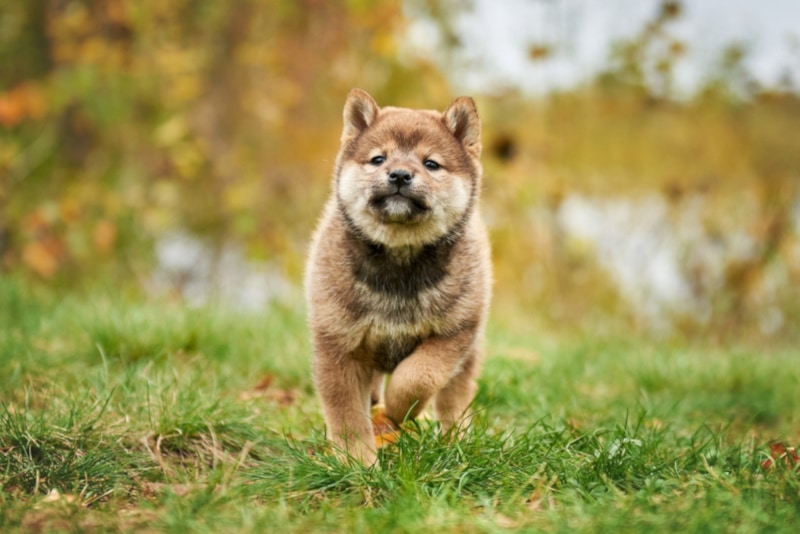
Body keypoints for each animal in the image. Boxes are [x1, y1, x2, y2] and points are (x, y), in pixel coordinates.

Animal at [306, 90, 494, 466]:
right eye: (378, 159)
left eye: (431, 164)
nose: (399, 175)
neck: (398, 263)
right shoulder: (336, 343)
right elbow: (347, 416)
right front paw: (357, 463)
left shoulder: (454, 333)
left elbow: (416, 378)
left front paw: (398, 411)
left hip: (467, 353)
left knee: (453, 399)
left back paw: (457, 441)